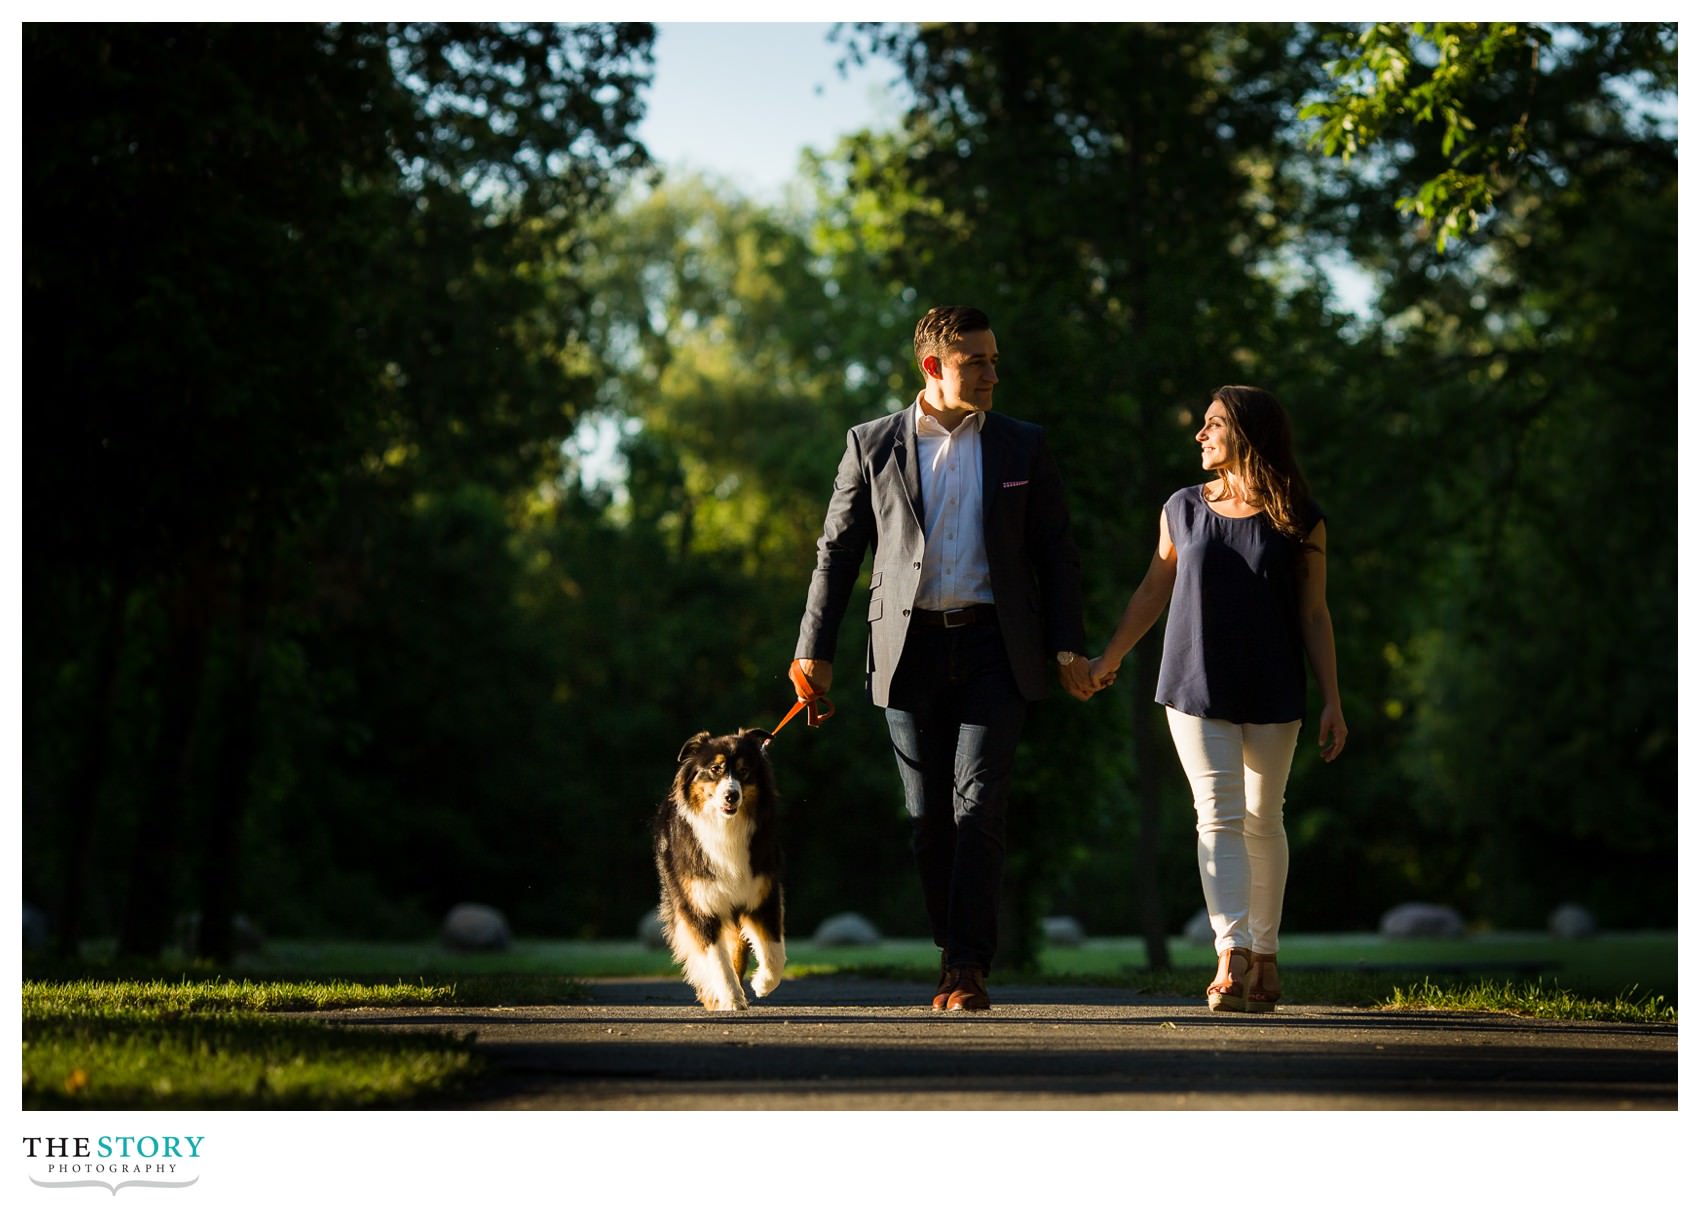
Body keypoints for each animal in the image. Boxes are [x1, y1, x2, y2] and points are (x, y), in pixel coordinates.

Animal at [652, 727, 785, 1013]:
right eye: (715, 769)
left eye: (744, 771)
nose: (731, 795)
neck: (726, 826)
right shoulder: (700, 905)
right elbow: (717, 960)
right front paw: (730, 998)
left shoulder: (763, 894)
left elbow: (774, 952)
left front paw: (762, 984)